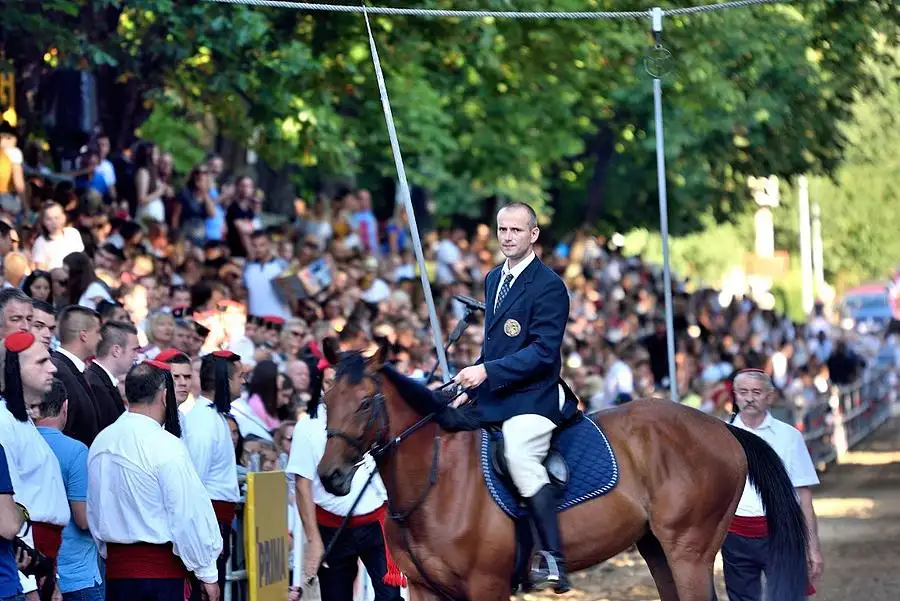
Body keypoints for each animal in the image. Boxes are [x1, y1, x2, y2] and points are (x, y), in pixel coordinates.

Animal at [316, 341, 809, 601]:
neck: (435, 482)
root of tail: (722, 427)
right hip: (657, 548)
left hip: (690, 549)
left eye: (364, 402)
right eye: (325, 400)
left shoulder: (486, 587)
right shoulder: (424, 591)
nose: (330, 477)